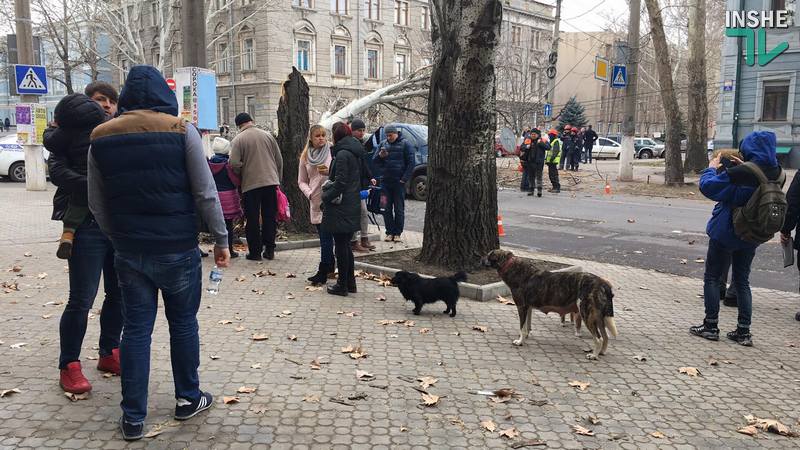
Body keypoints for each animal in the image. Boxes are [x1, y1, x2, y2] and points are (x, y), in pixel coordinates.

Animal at [482, 248, 620, 360]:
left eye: (488, 256)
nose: (480, 259)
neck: (510, 265)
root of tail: (603, 283)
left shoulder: (521, 307)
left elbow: (522, 327)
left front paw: (520, 341)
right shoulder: (528, 308)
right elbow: (527, 327)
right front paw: (525, 337)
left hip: (587, 315)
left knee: (599, 338)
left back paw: (594, 355)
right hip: (599, 318)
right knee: (606, 337)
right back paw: (601, 352)